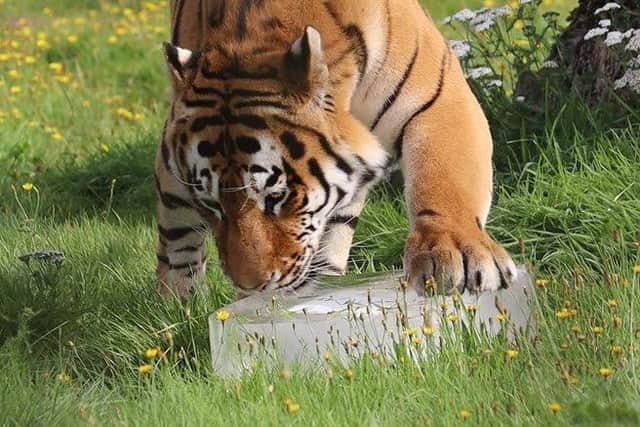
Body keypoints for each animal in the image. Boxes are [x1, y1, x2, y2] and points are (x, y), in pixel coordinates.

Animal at [156, 0, 520, 300]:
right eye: (211, 204)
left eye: (277, 197)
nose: (250, 286)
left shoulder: (436, 98)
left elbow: (445, 177)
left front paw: (454, 255)